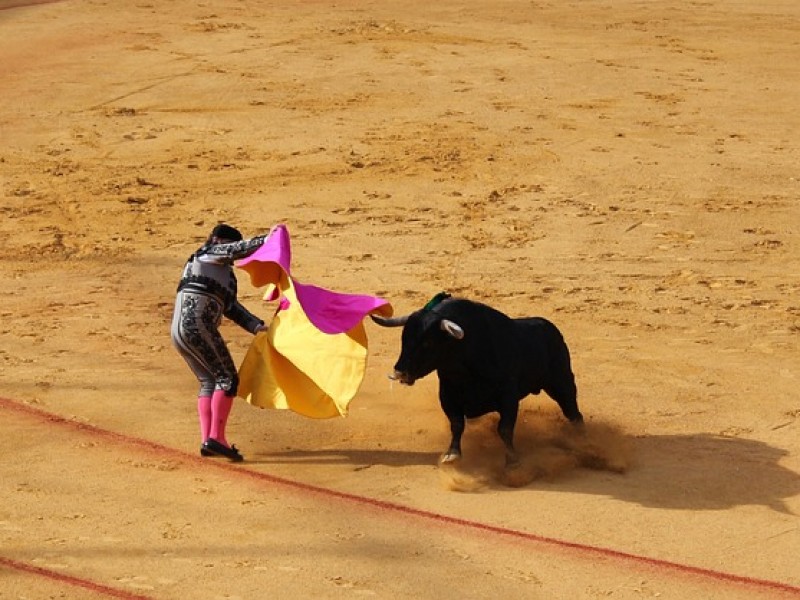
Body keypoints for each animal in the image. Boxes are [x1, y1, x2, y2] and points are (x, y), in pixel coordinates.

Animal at [372, 294, 584, 464]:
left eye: (427, 342)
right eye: (403, 339)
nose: (399, 372)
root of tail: (552, 329)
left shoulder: (508, 397)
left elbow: (504, 429)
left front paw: (512, 459)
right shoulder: (448, 396)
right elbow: (457, 425)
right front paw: (452, 454)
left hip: (562, 382)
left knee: (573, 412)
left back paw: (581, 439)